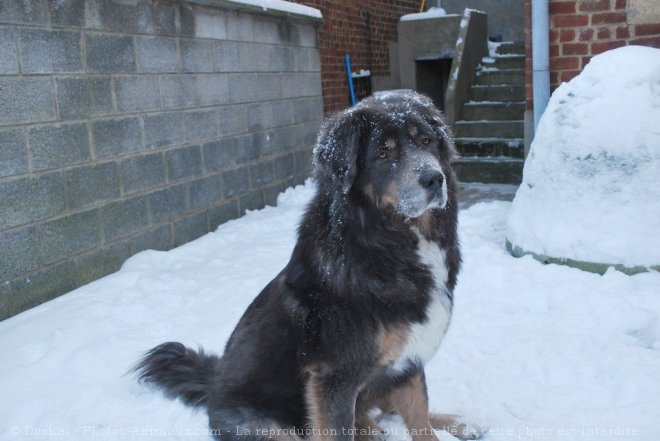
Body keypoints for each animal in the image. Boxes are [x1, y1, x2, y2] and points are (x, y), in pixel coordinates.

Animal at [137, 91, 482, 438]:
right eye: (384, 153)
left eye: (426, 141)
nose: (434, 179)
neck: (384, 240)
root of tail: (213, 384)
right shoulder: (335, 377)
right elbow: (343, 429)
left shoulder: (408, 360)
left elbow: (420, 418)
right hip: (269, 427)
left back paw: (457, 423)